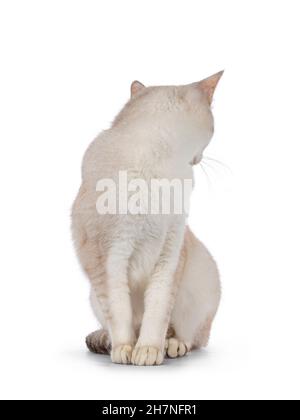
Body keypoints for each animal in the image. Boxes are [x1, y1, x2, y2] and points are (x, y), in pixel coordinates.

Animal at [72, 72, 223, 364]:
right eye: (212, 129)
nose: (198, 159)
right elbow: (119, 312)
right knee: (119, 323)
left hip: (203, 277)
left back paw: (172, 345)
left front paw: (148, 351)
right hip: (94, 292)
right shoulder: (109, 258)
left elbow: (158, 309)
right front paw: (124, 350)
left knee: (192, 335)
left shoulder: (171, 253)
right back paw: (106, 341)